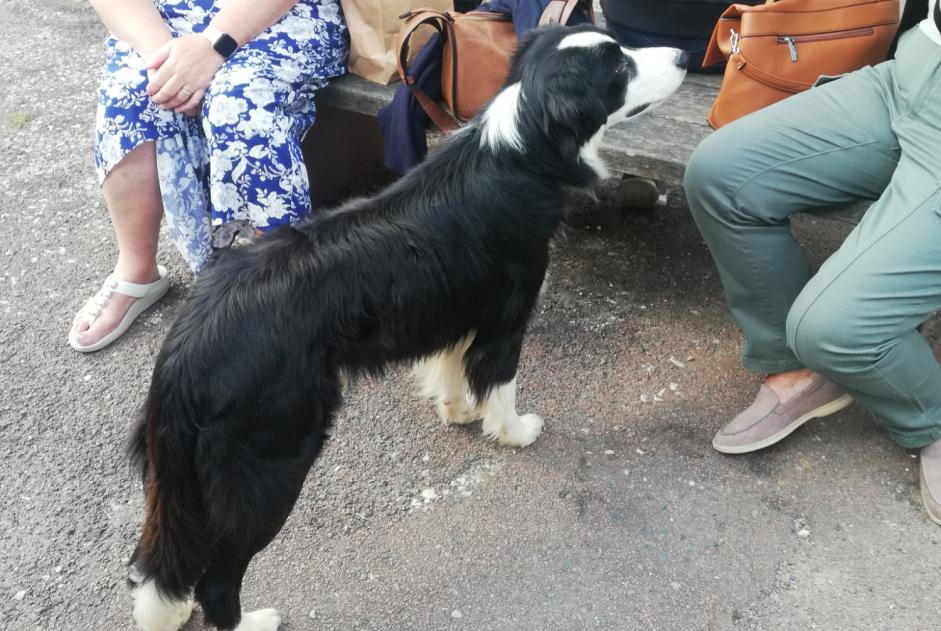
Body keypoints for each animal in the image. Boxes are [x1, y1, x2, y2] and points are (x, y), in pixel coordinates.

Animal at [126, 25, 684, 631]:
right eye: (620, 67)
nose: (683, 55)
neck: (524, 149)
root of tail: (185, 348)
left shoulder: (459, 309)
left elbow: (452, 367)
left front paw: (457, 412)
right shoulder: (506, 318)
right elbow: (501, 385)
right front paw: (514, 432)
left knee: (160, 561)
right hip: (272, 457)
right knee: (217, 576)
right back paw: (253, 620)